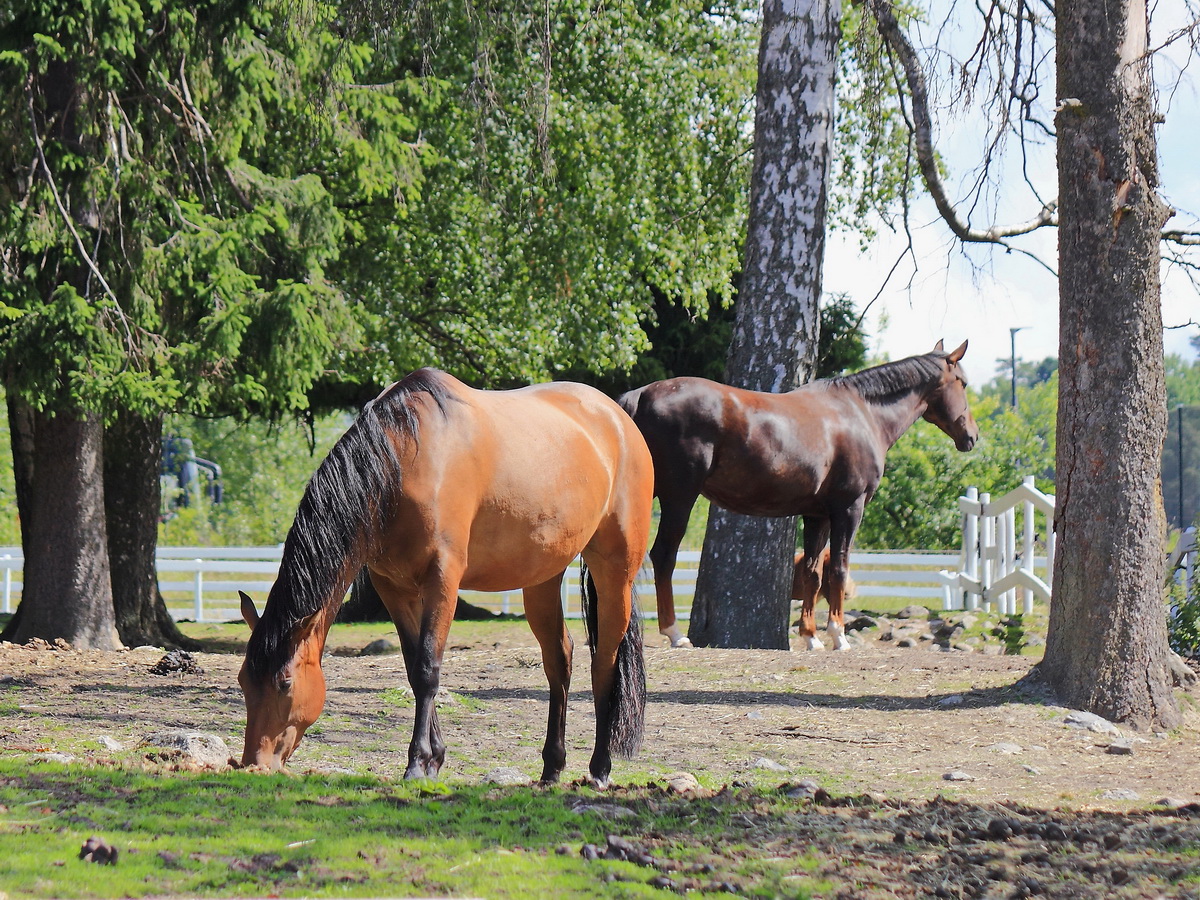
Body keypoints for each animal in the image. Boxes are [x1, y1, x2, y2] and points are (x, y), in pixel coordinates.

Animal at [237, 369, 657, 787]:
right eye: (243, 681)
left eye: (285, 683)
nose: (254, 763)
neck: (403, 460)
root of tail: (618, 419)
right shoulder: (394, 588)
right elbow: (413, 668)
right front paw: (434, 758)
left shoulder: (442, 581)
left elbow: (428, 668)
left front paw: (416, 763)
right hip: (542, 577)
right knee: (560, 659)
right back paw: (552, 767)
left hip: (614, 571)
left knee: (604, 663)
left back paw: (600, 768)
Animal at [619, 340, 974, 652]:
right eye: (963, 383)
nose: (972, 435)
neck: (861, 414)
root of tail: (642, 394)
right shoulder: (849, 509)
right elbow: (839, 568)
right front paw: (838, 636)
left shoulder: (817, 515)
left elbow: (812, 574)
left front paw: (811, 637)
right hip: (679, 498)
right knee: (663, 555)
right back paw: (675, 633)